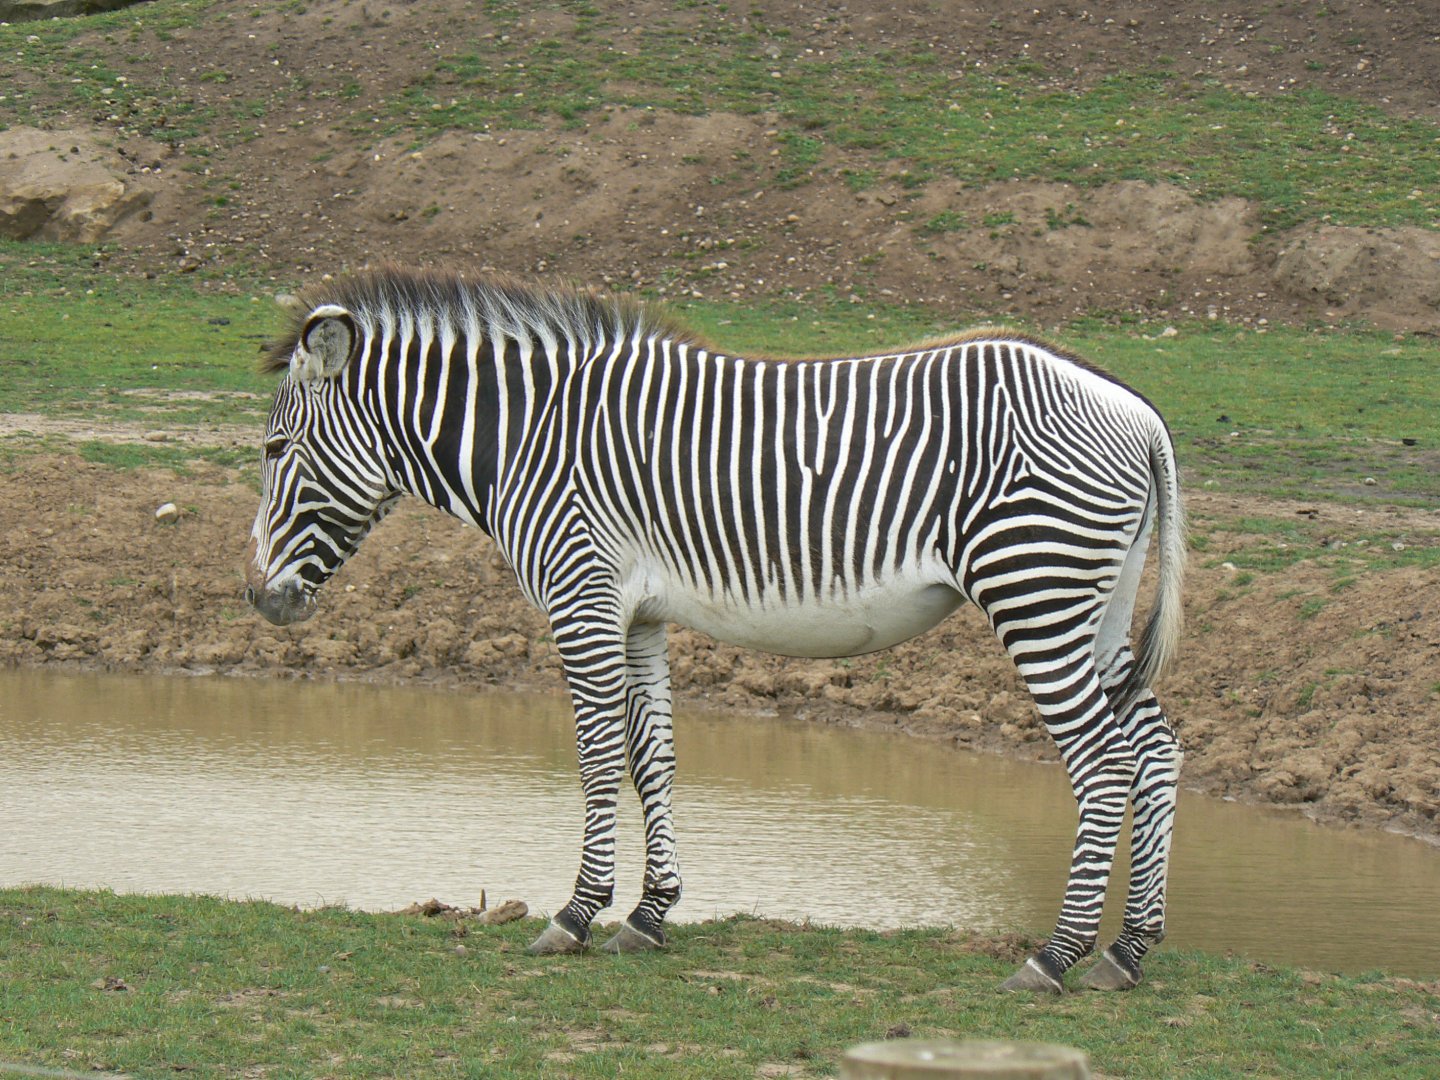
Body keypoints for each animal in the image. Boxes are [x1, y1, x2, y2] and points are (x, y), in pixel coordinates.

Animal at [244, 268, 1186, 994]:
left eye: (276, 450)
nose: (258, 599)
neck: (530, 439)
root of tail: (1138, 410)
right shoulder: (640, 616)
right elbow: (650, 757)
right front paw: (649, 915)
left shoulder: (581, 596)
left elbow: (595, 758)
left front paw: (575, 914)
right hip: (1095, 608)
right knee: (1155, 750)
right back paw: (1129, 952)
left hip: (1035, 590)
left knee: (1103, 764)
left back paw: (1055, 958)